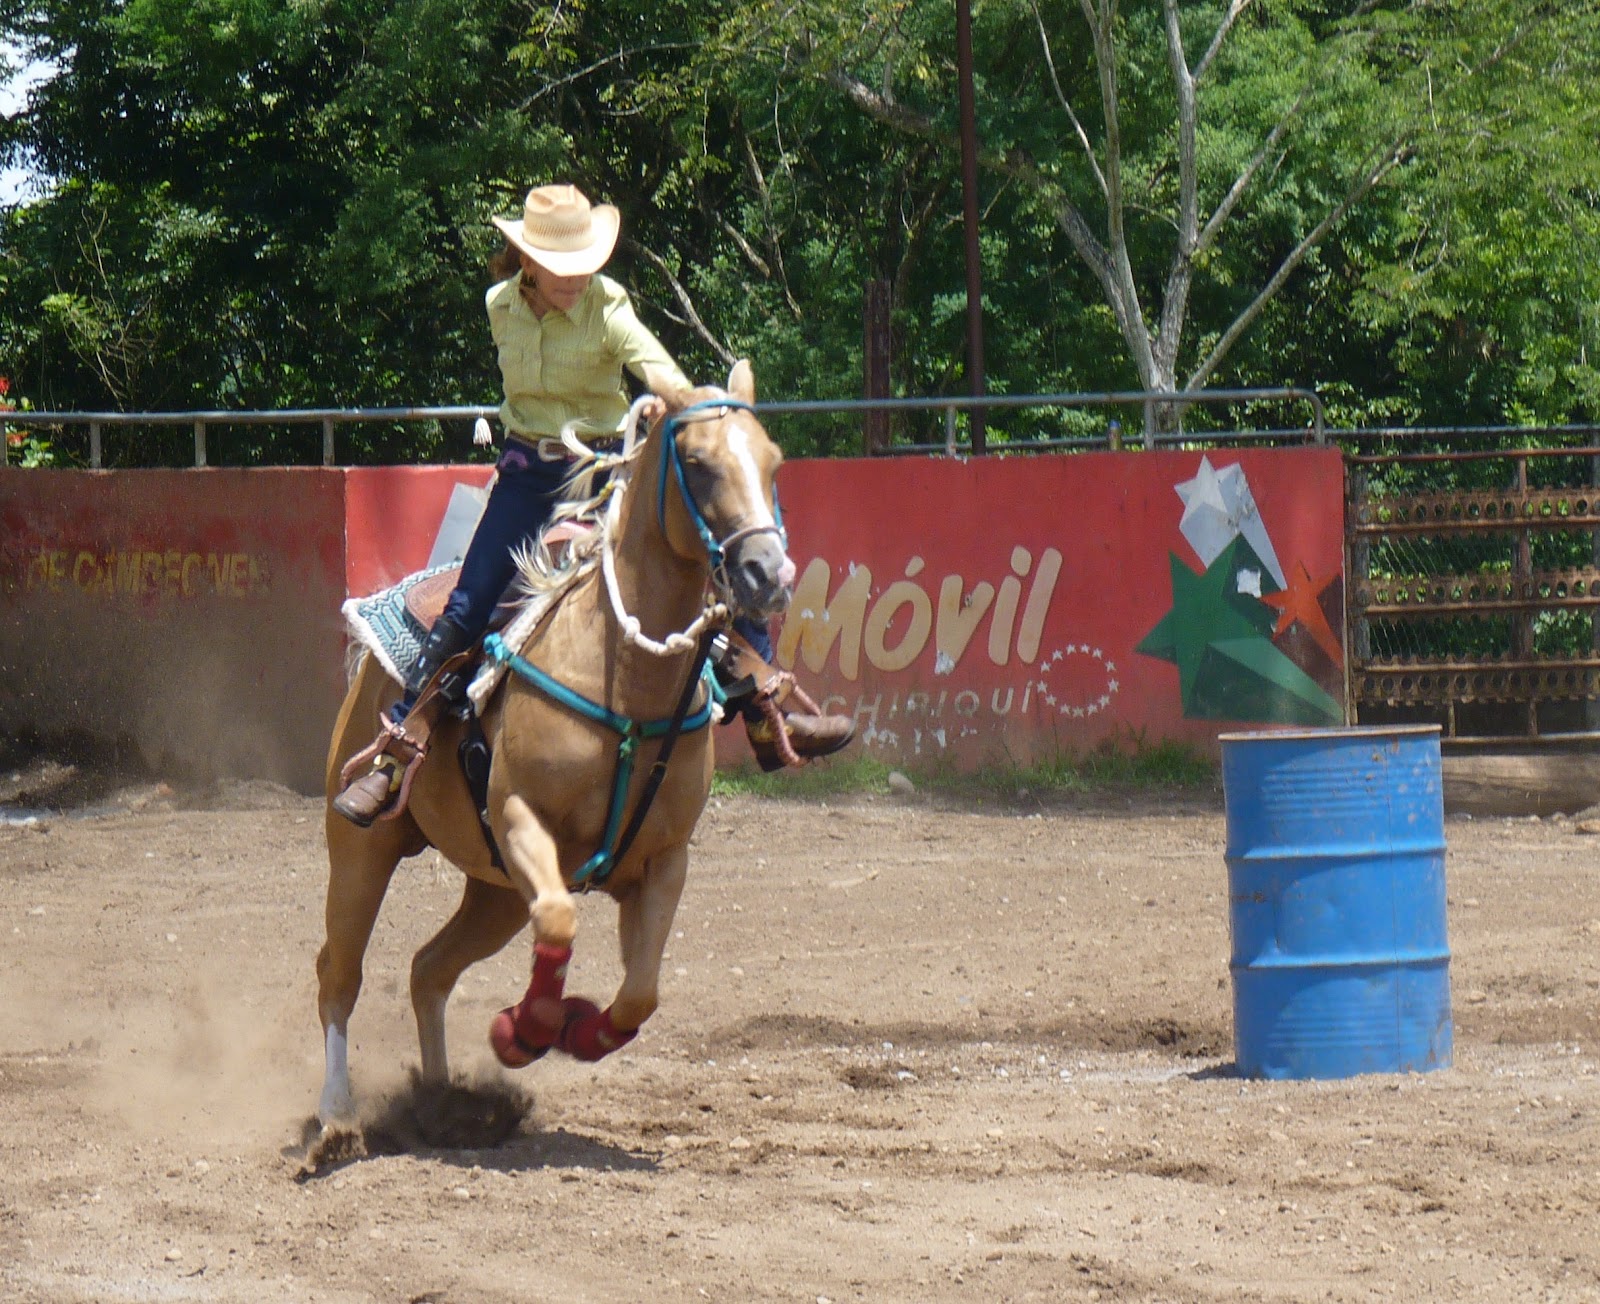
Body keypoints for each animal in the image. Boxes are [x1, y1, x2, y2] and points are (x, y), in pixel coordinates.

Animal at [314, 361, 793, 1127]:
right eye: (696, 463)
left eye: (772, 460)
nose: (768, 574)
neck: (624, 680)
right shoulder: (522, 821)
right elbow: (564, 923)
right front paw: (525, 1031)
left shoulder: (665, 861)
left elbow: (639, 994)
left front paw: (577, 1030)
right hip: (363, 846)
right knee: (340, 970)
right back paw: (336, 1115)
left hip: (495, 892)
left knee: (429, 969)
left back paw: (443, 1101)